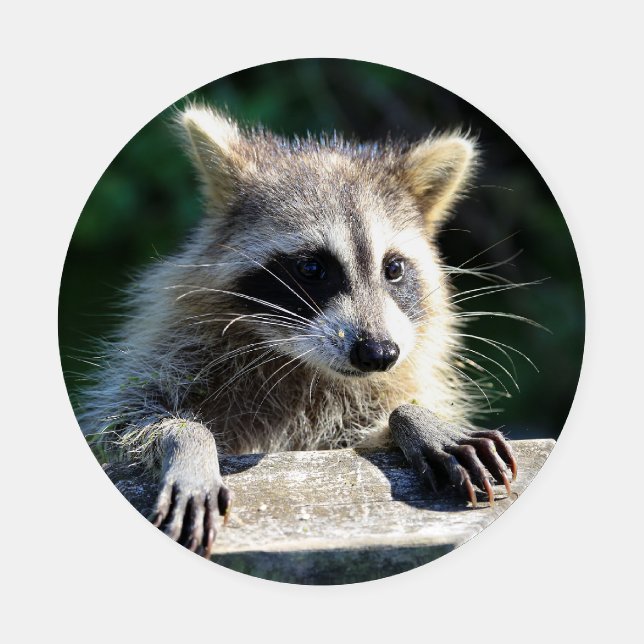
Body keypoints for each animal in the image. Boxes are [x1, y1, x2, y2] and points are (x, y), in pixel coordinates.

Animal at [80, 105, 518, 557]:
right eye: (311, 268)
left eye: (394, 268)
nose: (378, 353)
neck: (297, 362)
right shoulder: (174, 347)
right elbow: (129, 422)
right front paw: (189, 445)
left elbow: (381, 418)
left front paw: (416, 417)